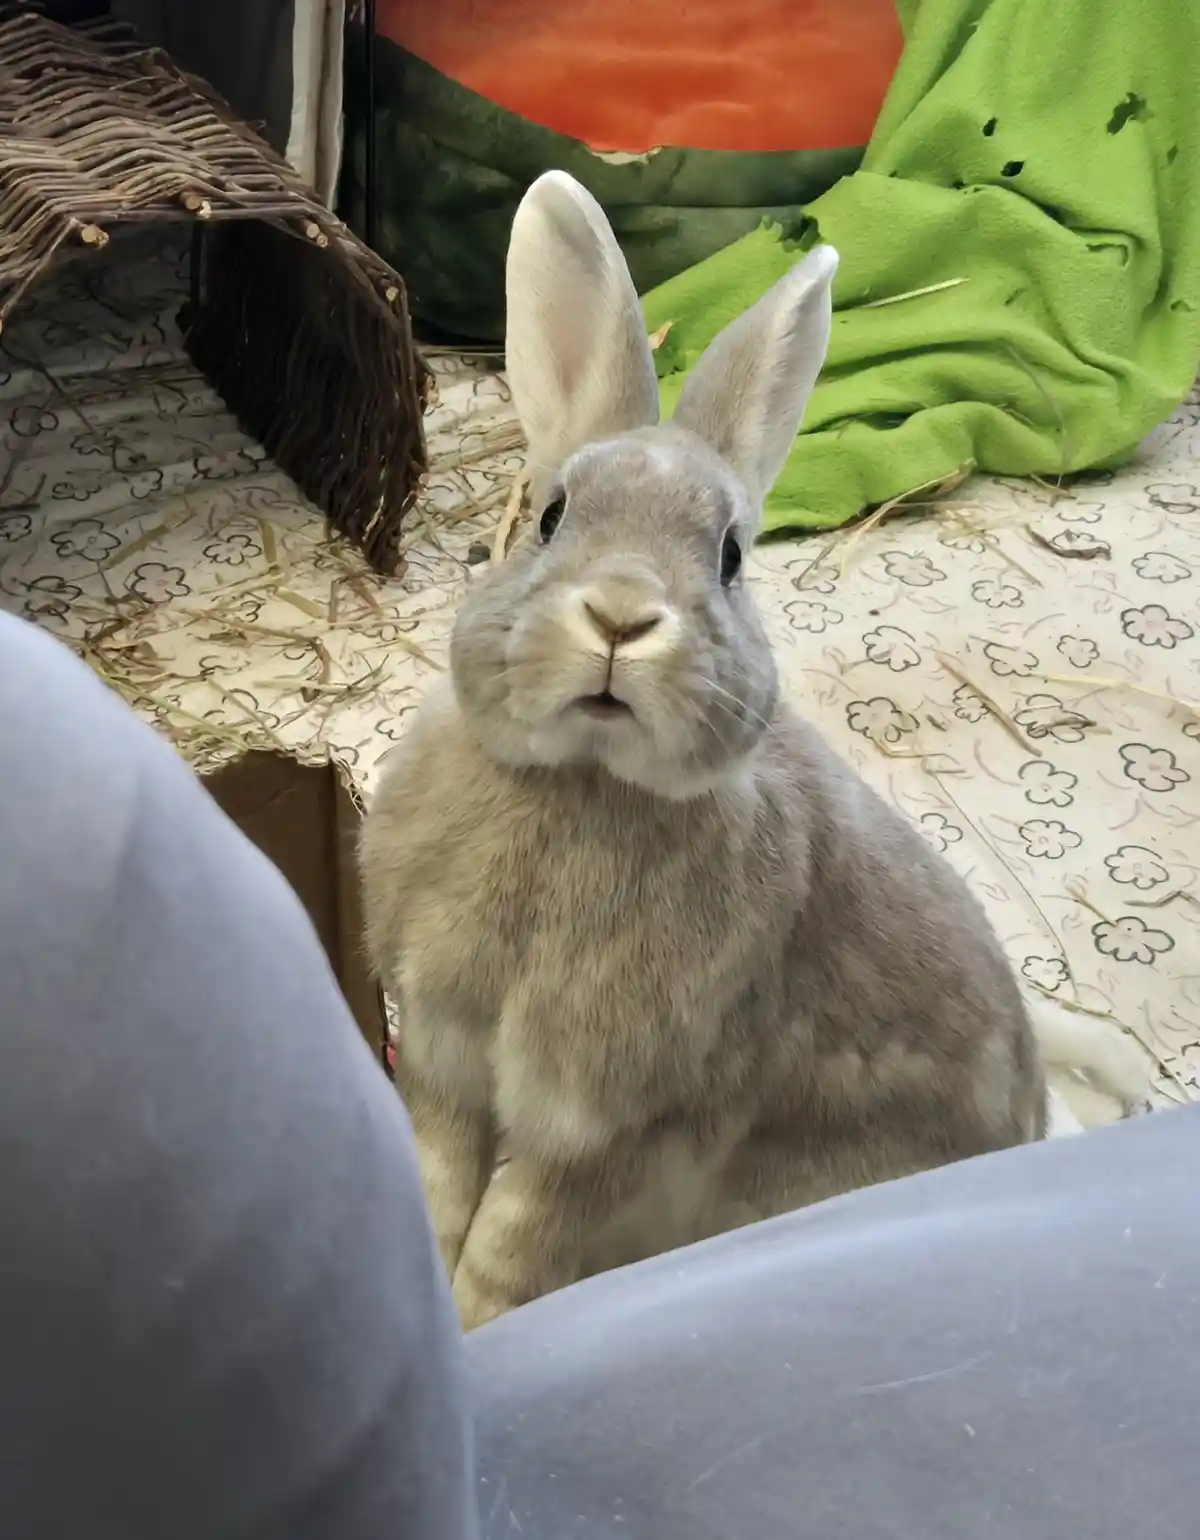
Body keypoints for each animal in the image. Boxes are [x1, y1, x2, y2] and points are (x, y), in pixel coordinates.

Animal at [361, 170, 1144, 1331]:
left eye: (730, 556)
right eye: (552, 516)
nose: (622, 618)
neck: (582, 780)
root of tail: (1036, 1115)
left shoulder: (593, 1120)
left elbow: (509, 1251)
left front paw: (471, 1333)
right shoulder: (445, 1060)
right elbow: (438, 1183)